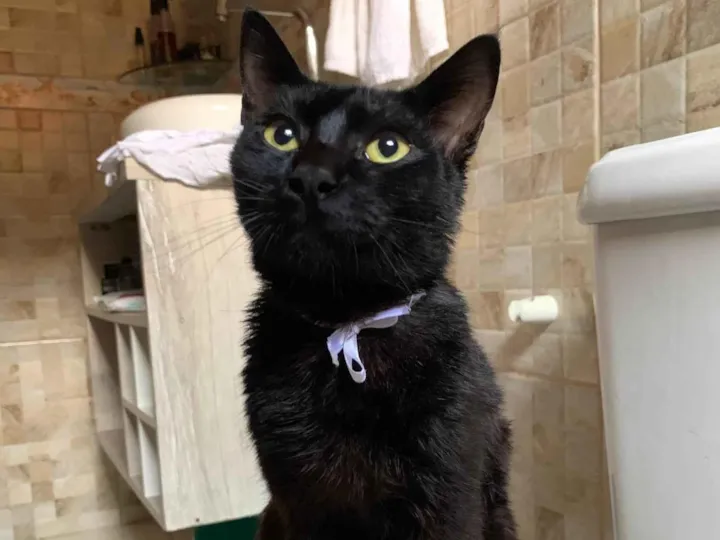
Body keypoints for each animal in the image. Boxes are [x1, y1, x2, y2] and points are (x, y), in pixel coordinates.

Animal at [230, 9, 516, 540]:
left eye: (388, 147)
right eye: (281, 134)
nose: (311, 178)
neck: (351, 323)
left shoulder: (449, 498)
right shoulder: (299, 504)